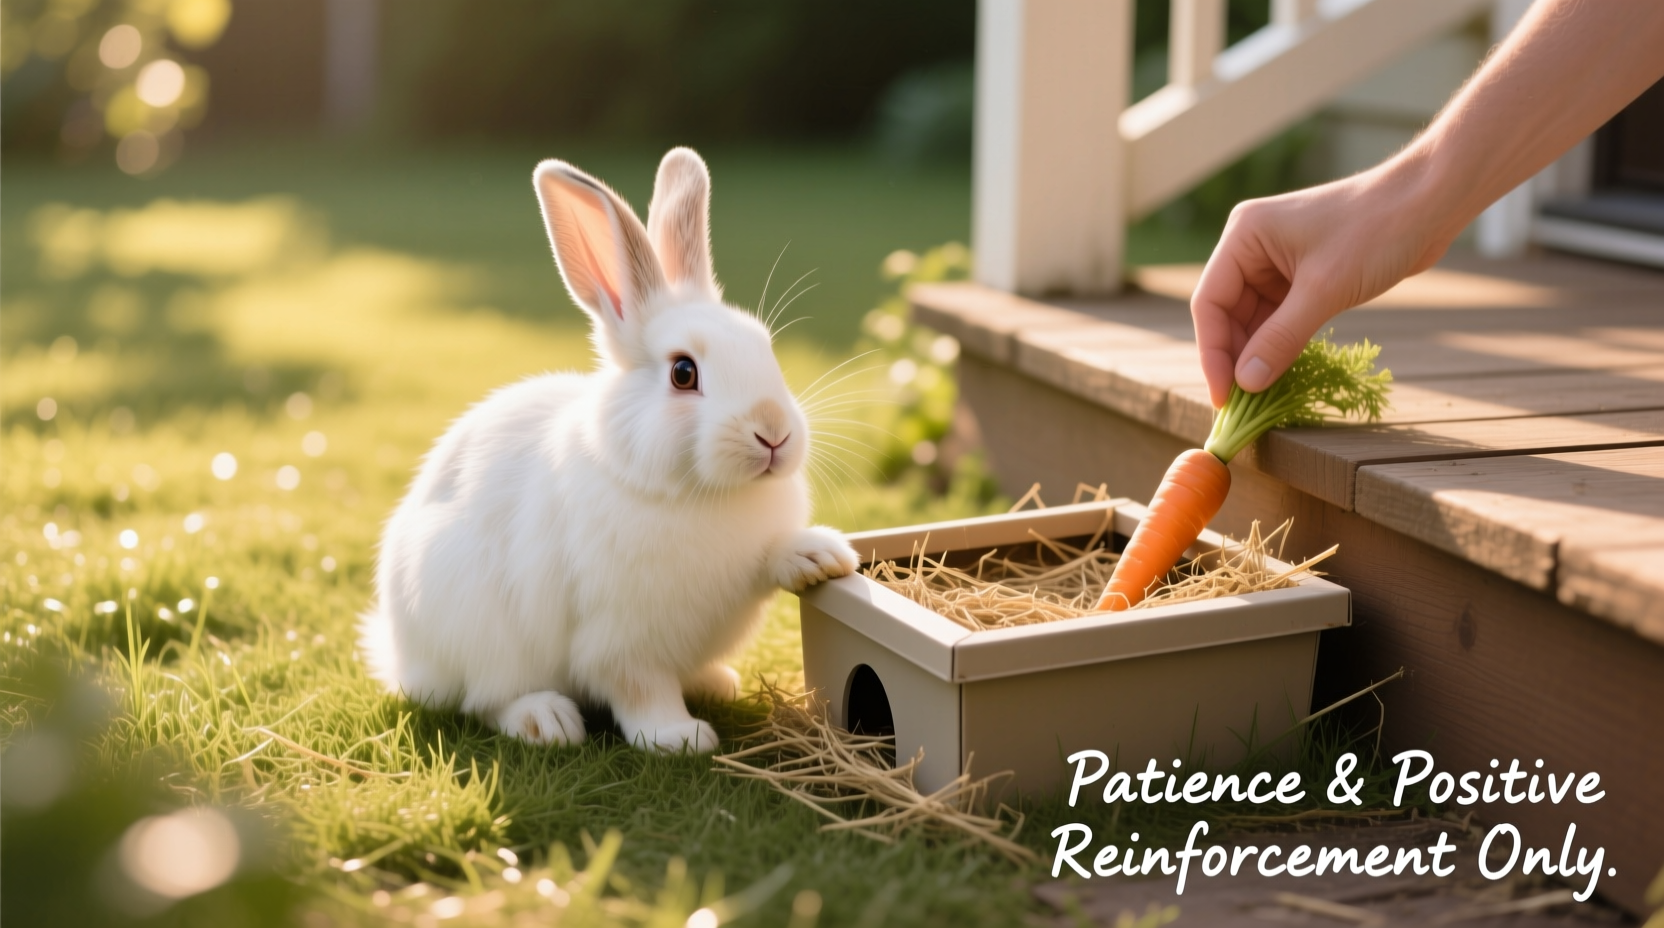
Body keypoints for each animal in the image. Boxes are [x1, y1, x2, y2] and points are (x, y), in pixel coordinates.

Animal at [360, 147, 859, 753]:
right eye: (683, 372)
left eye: (764, 347)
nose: (774, 432)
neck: (695, 493)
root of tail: (401, 658)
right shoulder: (621, 640)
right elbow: (641, 690)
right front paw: (679, 738)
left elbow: (772, 557)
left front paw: (821, 556)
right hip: (477, 633)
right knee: (483, 700)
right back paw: (545, 720)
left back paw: (716, 680)